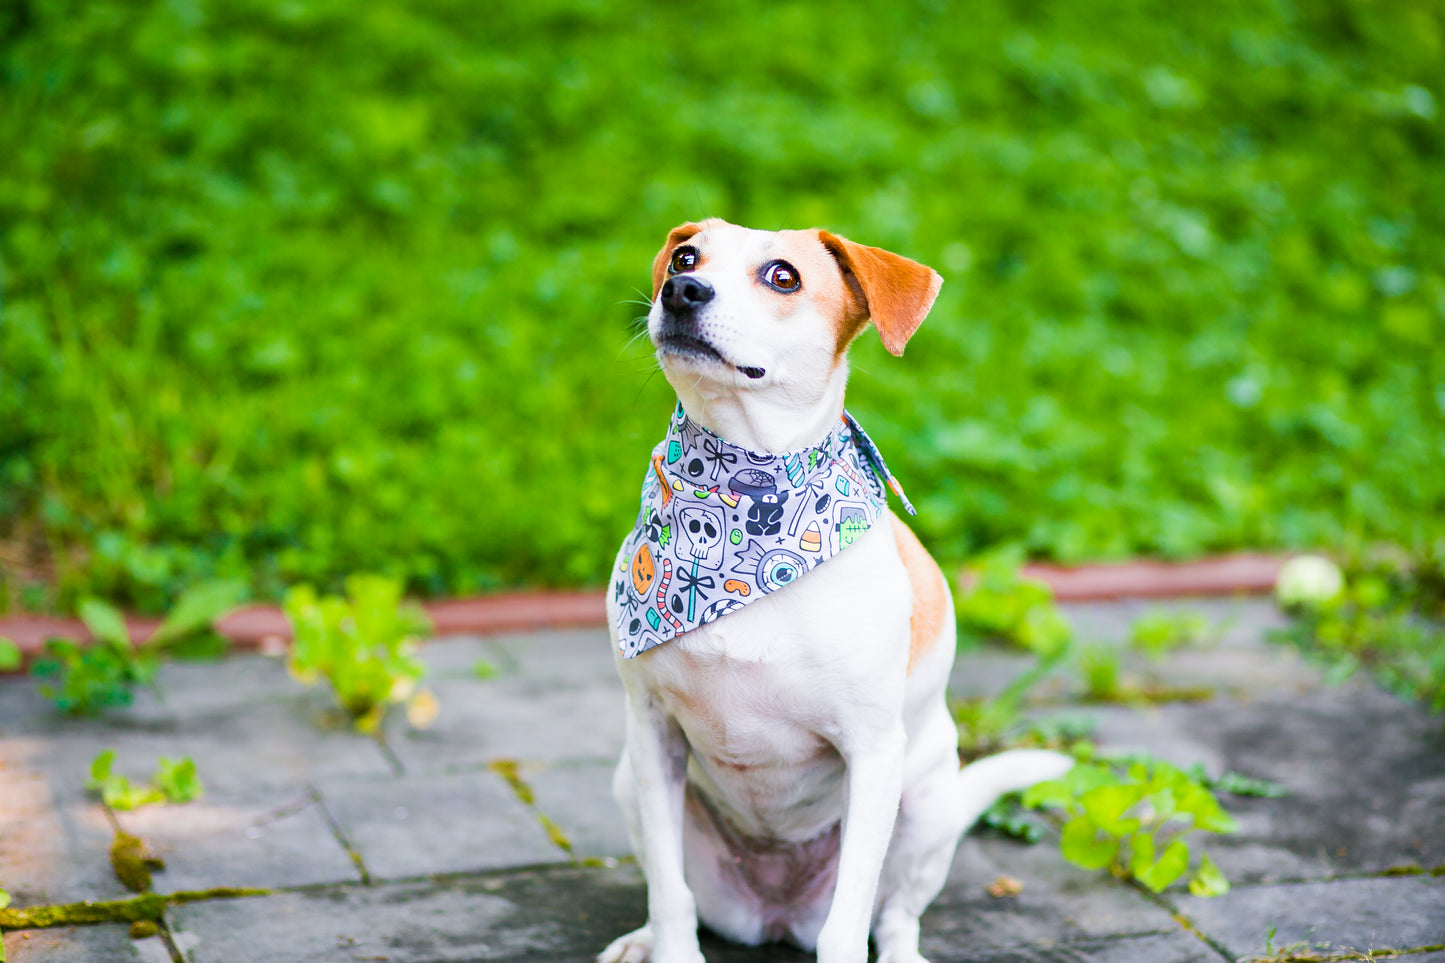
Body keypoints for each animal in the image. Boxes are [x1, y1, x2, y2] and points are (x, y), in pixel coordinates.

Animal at [598, 219, 1075, 960]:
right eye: (685, 258)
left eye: (782, 276)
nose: (682, 290)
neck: (741, 492)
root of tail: (775, 915)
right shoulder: (652, 731)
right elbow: (670, 896)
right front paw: (668, 947)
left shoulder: (871, 753)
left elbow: (847, 924)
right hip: (629, 783)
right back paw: (642, 940)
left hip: (926, 807)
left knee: (897, 914)